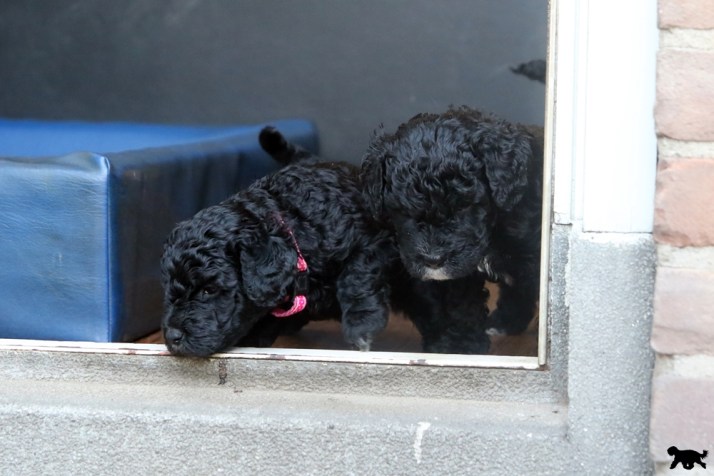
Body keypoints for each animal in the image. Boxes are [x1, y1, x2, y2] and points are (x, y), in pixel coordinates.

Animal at [160, 127, 399, 357]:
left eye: (209, 290)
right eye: (169, 286)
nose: (173, 336)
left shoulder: (371, 239)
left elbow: (357, 277)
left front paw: (361, 324)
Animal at [361, 106, 543, 351]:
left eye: (464, 205)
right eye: (403, 210)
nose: (433, 260)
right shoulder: (458, 276)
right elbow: (462, 308)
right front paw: (463, 346)